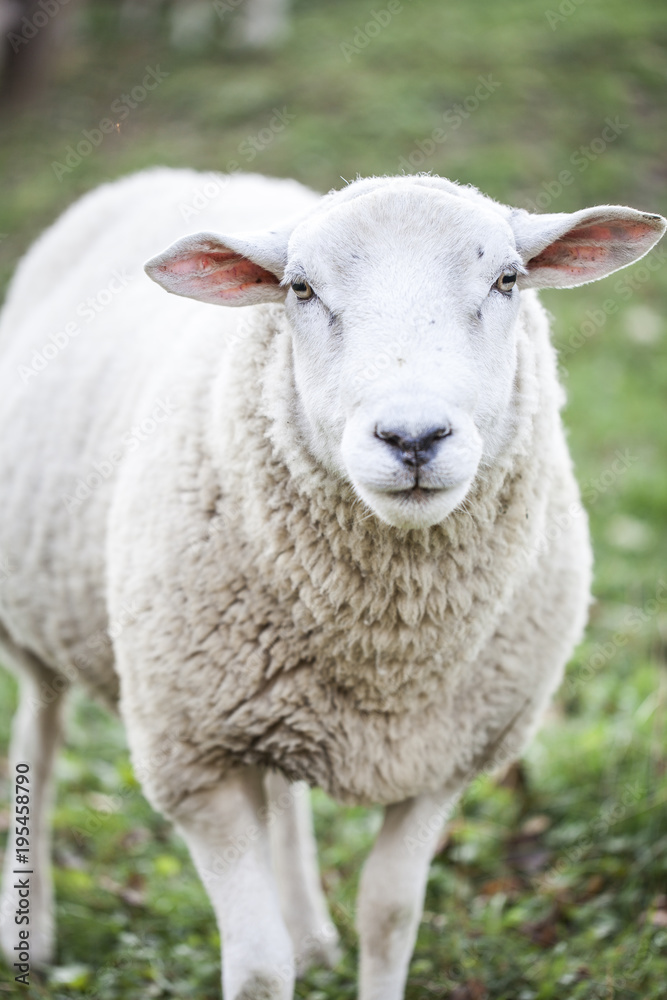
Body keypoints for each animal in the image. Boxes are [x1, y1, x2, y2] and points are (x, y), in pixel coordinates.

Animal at [0, 168, 664, 996]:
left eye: (508, 279)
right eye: (300, 289)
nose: (412, 437)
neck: (386, 654)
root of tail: (178, 174)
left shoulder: (441, 757)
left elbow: (389, 917)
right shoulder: (194, 763)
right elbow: (257, 967)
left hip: (266, 690)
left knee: (280, 792)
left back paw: (311, 931)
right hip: (35, 615)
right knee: (39, 734)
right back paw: (31, 933)